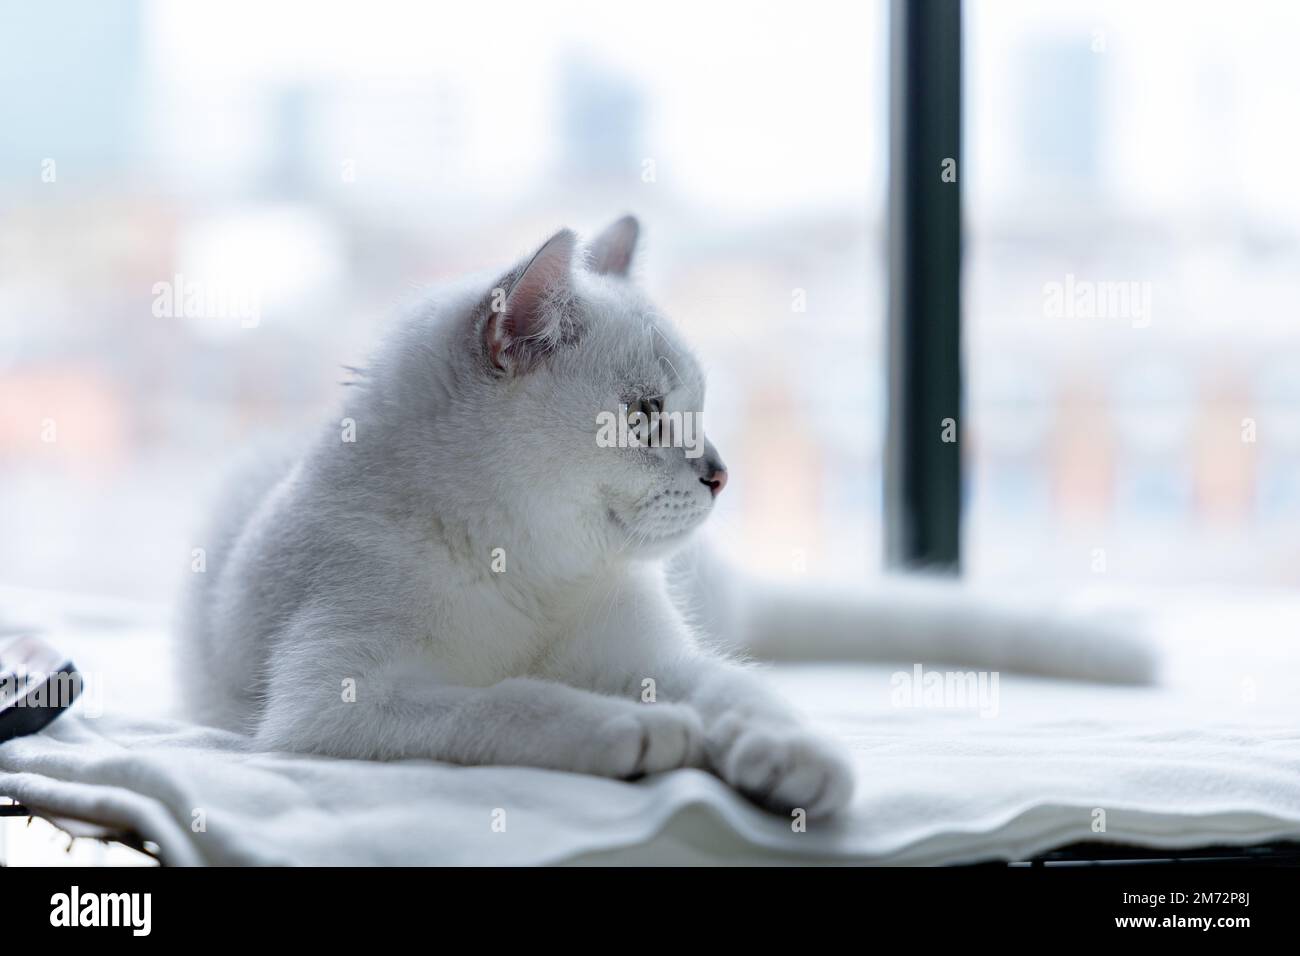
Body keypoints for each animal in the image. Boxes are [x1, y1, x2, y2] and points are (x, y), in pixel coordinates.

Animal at [178, 214, 1154, 816]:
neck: (525, 568)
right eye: (647, 414)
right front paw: (631, 730)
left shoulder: (656, 656)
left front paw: (790, 754)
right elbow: (507, 701)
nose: (722, 473)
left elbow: (737, 687)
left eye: (698, 408)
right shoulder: (337, 701)